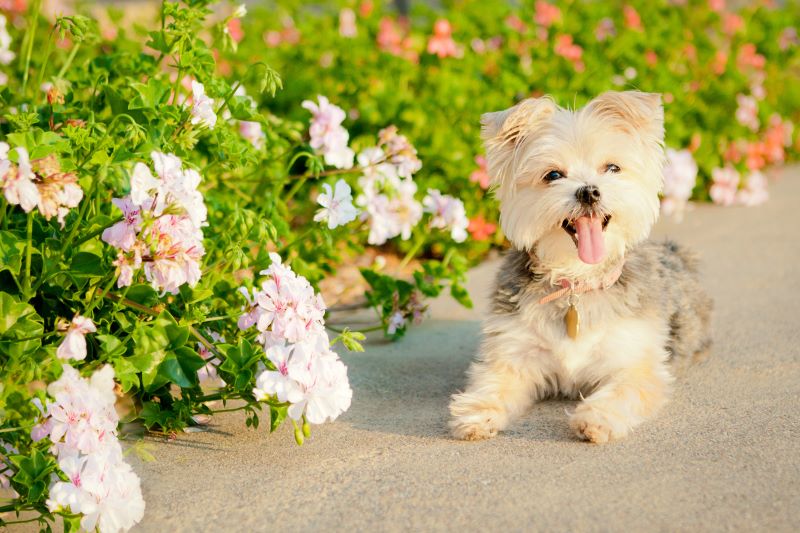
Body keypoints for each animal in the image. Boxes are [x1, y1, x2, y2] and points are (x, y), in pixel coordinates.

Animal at [450, 92, 712, 444]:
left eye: (612, 167)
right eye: (553, 175)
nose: (588, 191)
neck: (577, 279)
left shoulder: (635, 362)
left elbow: (623, 391)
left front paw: (597, 417)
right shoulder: (514, 353)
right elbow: (495, 382)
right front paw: (478, 411)